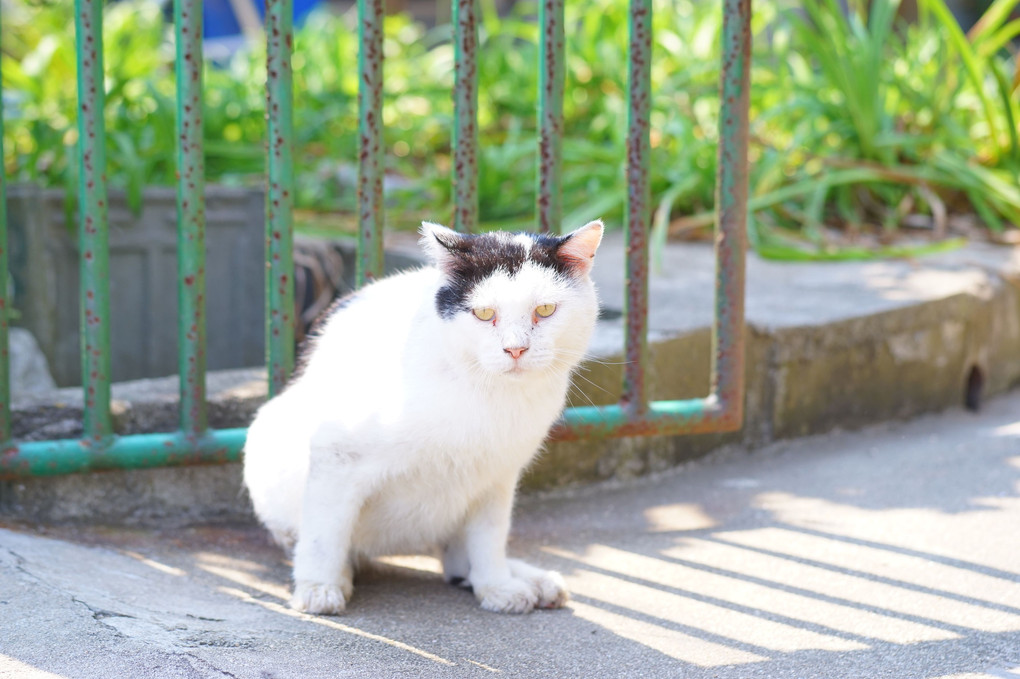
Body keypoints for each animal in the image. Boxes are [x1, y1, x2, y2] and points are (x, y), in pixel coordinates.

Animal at [241, 218, 599, 611]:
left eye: (546, 310)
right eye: (484, 314)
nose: (516, 349)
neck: (485, 394)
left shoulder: (497, 476)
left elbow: (489, 536)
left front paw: (497, 586)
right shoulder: (335, 454)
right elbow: (324, 534)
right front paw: (319, 588)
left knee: (458, 558)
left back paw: (525, 579)